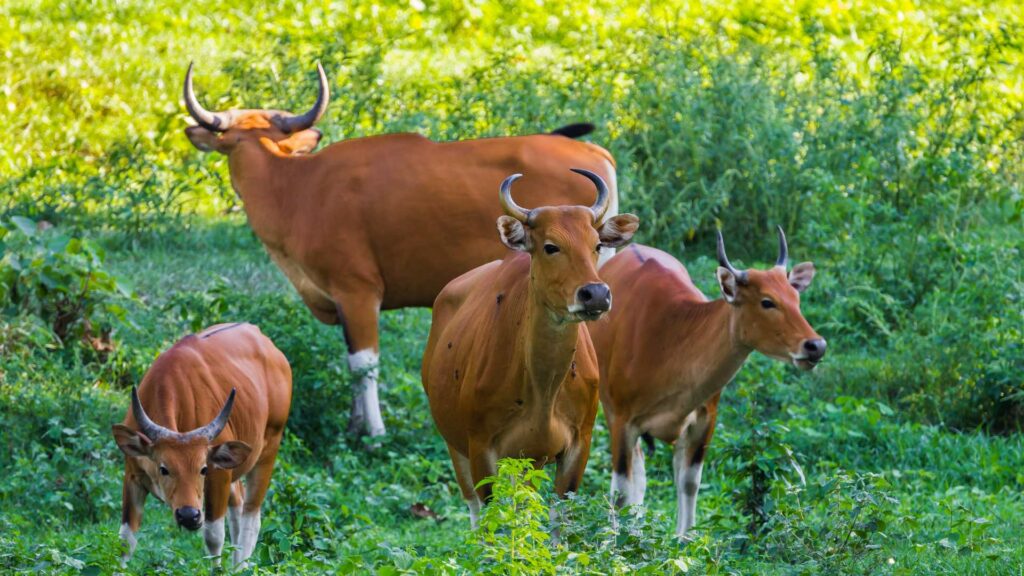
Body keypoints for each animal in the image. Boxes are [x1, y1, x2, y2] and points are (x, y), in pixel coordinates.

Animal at [112, 323, 292, 565]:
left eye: (203, 469)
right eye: (164, 468)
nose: (189, 515)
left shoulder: (218, 475)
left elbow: (213, 537)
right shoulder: (132, 476)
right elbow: (125, 541)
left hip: (269, 448)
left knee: (251, 519)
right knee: (238, 505)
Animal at [181, 62, 618, 436]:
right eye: (233, 140)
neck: (295, 187)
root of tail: (596, 154)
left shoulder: (357, 290)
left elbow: (365, 363)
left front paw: (373, 432)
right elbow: (351, 360)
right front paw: (355, 424)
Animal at [419, 167, 634, 524]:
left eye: (596, 244)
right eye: (550, 246)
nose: (596, 294)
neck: (543, 389)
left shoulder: (577, 446)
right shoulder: (481, 448)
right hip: (456, 445)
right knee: (475, 512)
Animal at [589, 226, 827, 537]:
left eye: (796, 299)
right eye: (767, 301)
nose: (816, 346)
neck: (669, 342)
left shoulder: (705, 419)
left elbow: (689, 482)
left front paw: (684, 539)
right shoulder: (621, 419)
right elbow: (619, 490)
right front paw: (617, 542)